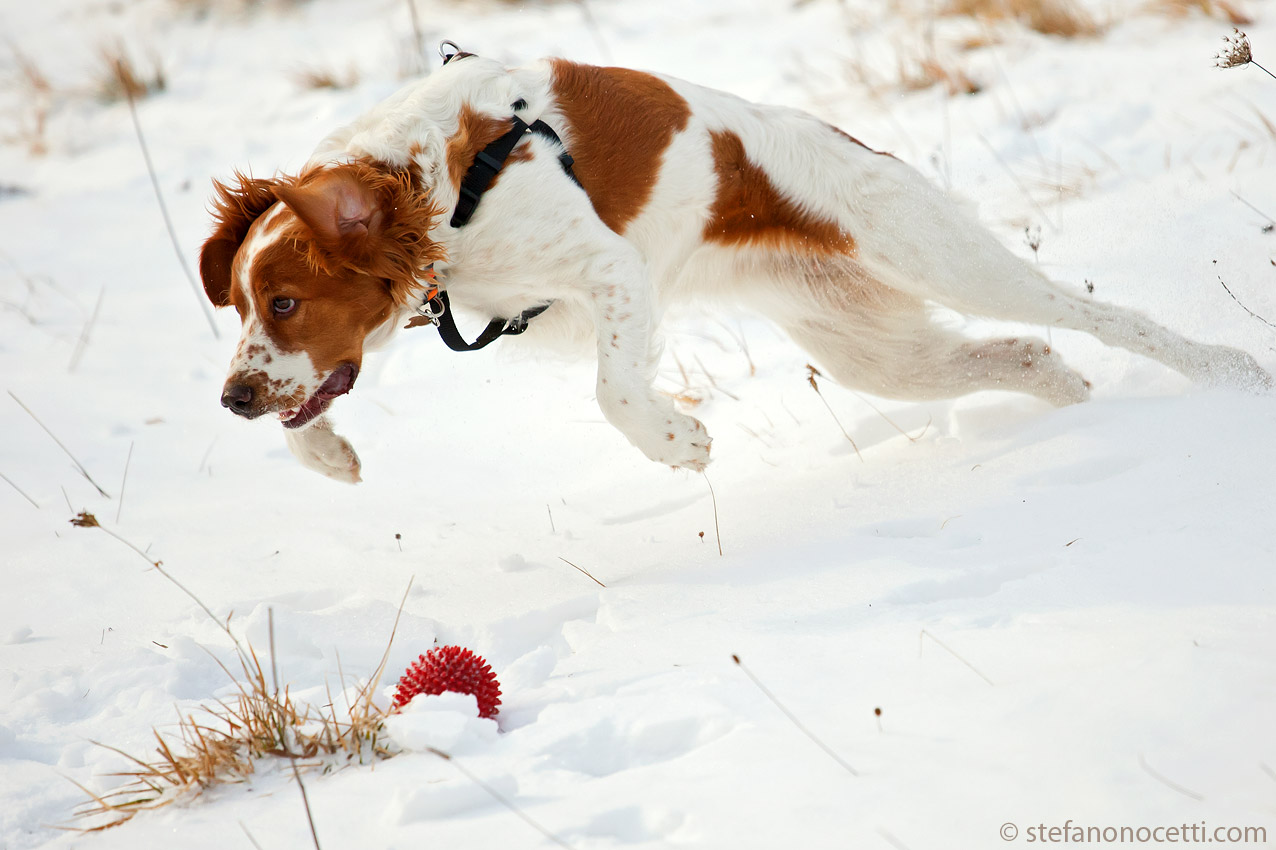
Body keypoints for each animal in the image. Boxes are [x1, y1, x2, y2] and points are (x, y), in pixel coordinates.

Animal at [199, 52, 1265, 479]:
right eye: (245, 306)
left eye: (286, 300)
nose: (230, 402)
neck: (439, 186)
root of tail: (852, 144)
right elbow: (313, 407)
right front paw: (326, 456)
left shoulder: (612, 273)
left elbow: (615, 393)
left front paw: (679, 444)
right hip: (864, 349)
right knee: (1023, 353)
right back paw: (1069, 403)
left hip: (936, 251)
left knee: (1098, 316)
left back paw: (1227, 375)